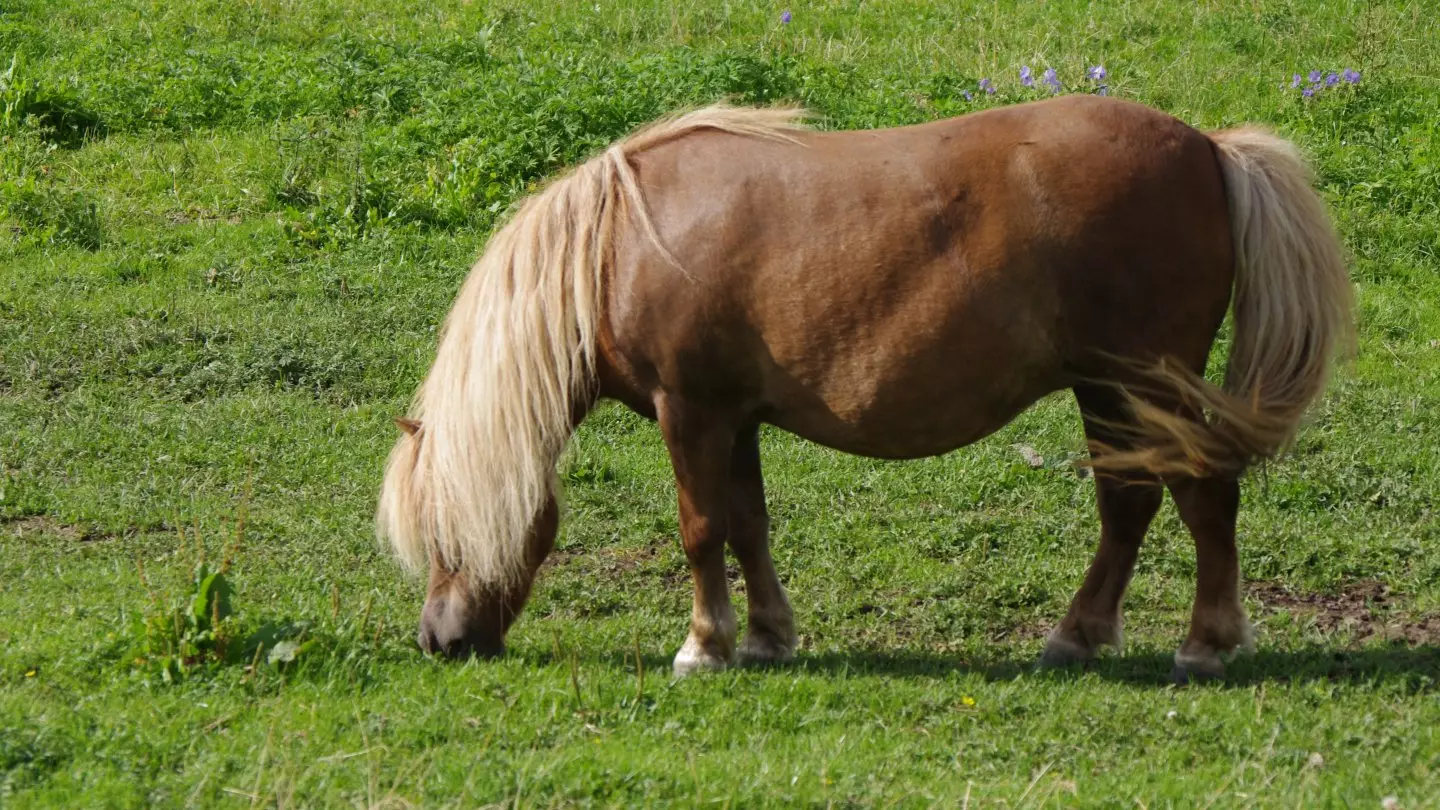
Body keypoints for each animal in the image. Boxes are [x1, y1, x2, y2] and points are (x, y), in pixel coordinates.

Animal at [377, 95, 1353, 680]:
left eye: (446, 529)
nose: (438, 640)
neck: (618, 245)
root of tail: (1212, 151)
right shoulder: (736, 419)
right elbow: (748, 525)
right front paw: (766, 635)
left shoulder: (689, 412)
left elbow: (700, 530)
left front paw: (704, 645)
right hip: (1109, 391)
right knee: (1132, 506)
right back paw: (1078, 634)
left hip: (1144, 385)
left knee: (1201, 497)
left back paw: (1205, 644)